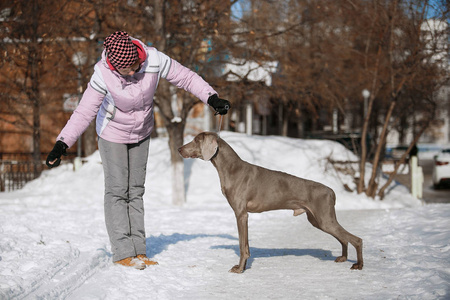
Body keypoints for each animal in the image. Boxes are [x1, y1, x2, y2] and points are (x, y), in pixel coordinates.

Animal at [178, 132, 364, 274]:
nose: (179, 149)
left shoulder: (241, 214)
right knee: (344, 238)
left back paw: (358, 264)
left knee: (356, 239)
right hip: (317, 219)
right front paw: (243, 267)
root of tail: (331, 191)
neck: (231, 168)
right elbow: (246, 246)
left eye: (197, 140)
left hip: (324, 218)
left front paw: (239, 269)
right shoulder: (243, 215)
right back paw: (343, 258)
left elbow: (242, 246)